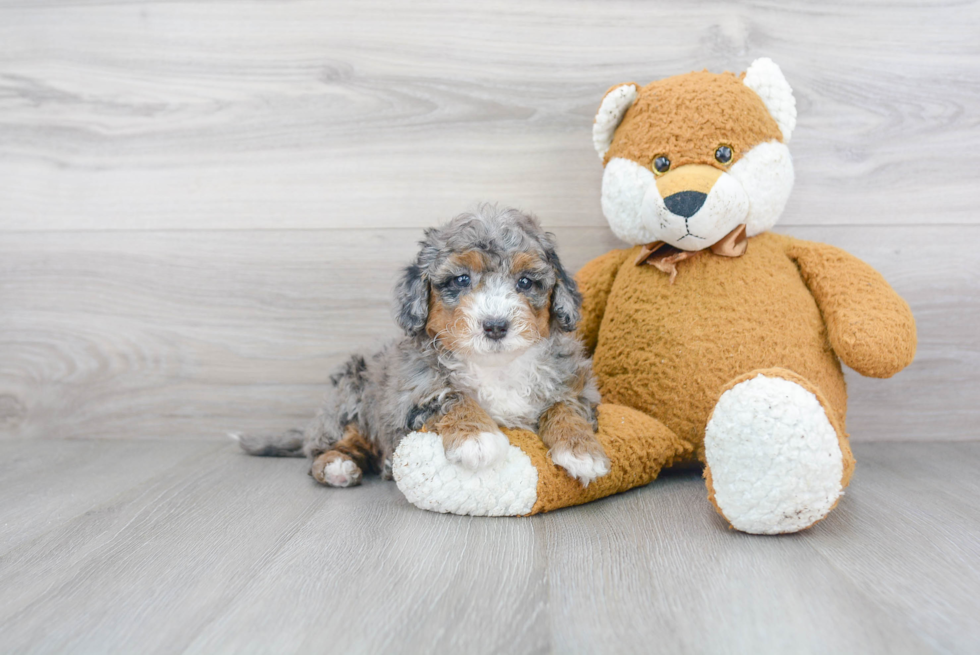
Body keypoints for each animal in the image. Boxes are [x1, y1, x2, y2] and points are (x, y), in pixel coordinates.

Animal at [234, 205, 608, 486]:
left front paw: (582, 450)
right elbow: (451, 397)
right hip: (349, 397)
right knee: (324, 450)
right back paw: (338, 466)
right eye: (461, 280)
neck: (494, 367)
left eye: (526, 282)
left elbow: (565, 407)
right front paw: (477, 438)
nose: (495, 326)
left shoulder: (575, 387)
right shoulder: (411, 396)